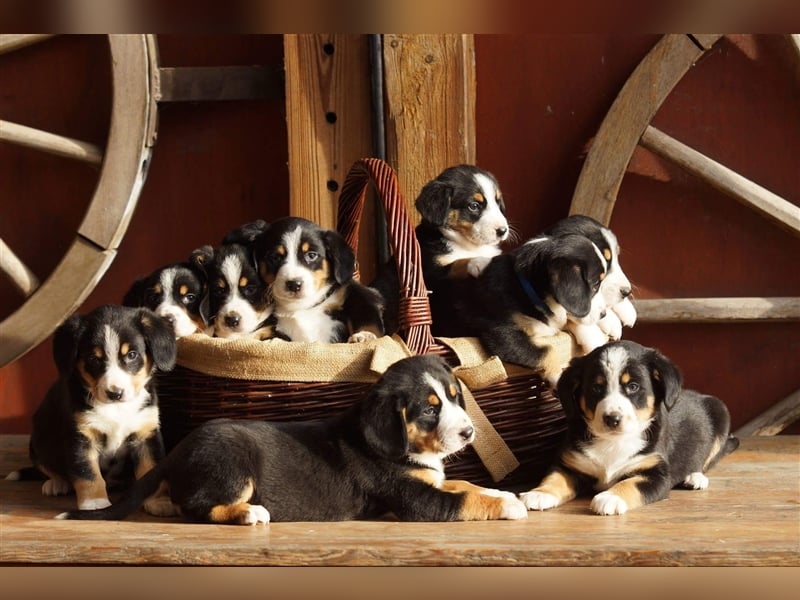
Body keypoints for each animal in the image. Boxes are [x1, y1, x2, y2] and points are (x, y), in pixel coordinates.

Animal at [6, 308, 177, 512]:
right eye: (93, 359)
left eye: (132, 355)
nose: (115, 393)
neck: (116, 409)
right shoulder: (82, 436)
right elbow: (88, 474)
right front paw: (94, 503)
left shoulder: (145, 434)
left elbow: (152, 469)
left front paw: (159, 502)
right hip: (40, 440)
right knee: (46, 467)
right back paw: (56, 483)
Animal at [59, 354, 528, 524]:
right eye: (430, 409)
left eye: (454, 396)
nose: (468, 432)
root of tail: (179, 450)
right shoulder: (414, 499)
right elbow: (462, 500)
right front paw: (509, 504)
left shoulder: (430, 481)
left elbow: (464, 484)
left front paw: (500, 490)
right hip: (233, 463)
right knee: (198, 507)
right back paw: (248, 513)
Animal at [520, 342, 740, 516]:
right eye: (596, 388)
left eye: (633, 386)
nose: (612, 418)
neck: (614, 441)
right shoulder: (569, 464)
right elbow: (554, 478)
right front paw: (539, 493)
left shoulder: (656, 474)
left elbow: (630, 483)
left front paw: (610, 498)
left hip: (720, 411)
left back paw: (695, 478)